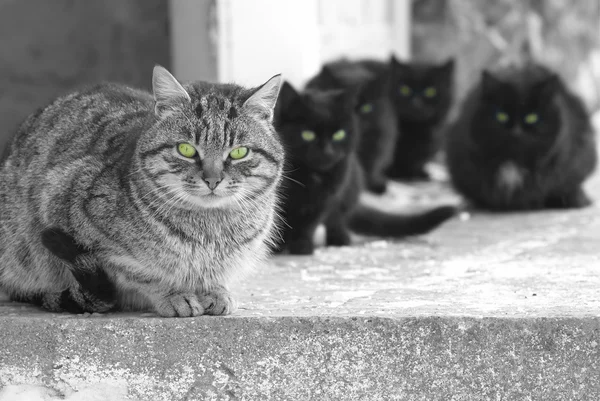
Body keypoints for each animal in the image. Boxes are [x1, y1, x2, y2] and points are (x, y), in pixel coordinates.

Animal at [0, 65, 286, 316]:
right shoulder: (63, 204)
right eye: (186, 149)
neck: (209, 230)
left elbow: (213, 276)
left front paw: (215, 291)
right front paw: (174, 294)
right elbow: (142, 274)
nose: (213, 180)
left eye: (239, 152)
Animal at [274, 82, 458, 253]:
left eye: (339, 134)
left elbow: (309, 224)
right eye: (307, 134)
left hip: (349, 186)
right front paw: (279, 246)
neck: (312, 176)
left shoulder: (326, 198)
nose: (327, 151)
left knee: (337, 219)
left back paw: (340, 239)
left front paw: (301, 246)